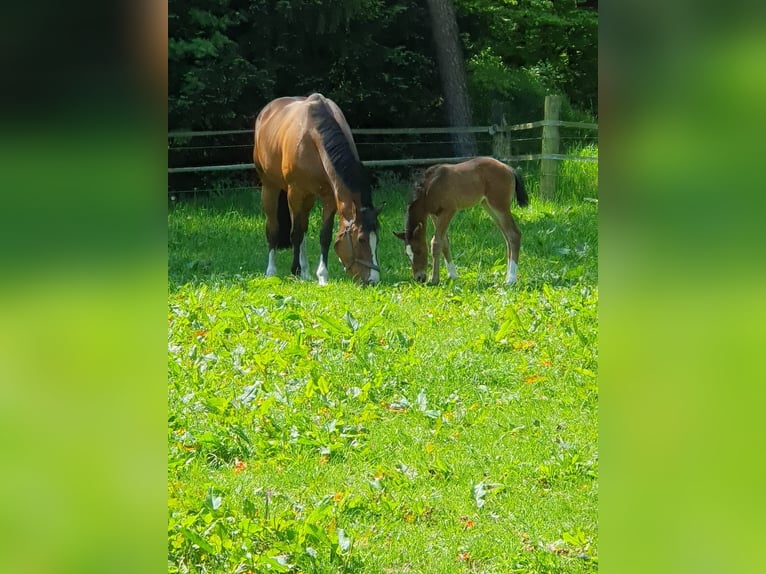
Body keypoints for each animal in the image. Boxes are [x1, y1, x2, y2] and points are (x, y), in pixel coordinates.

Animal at [254, 93, 382, 288]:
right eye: (360, 239)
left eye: (377, 240)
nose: (373, 280)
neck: (313, 135)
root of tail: (266, 112)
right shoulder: (295, 193)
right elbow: (295, 233)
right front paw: (294, 271)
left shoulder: (329, 197)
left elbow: (324, 235)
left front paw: (321, 276)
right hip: (270, 187)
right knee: (274, 227)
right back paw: (272, 271)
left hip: (308, 197)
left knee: (304, 227)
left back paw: (306, 271)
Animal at [396, 158, 528, 286]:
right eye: (407, 254)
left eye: (419, 250)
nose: (419, 278)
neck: (429, 188)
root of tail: (509, 168)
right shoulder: (434, 214)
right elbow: (445, 242)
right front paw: (453, 275)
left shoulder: (448, 210)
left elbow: (436, 242)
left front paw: (435, 280)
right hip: (488, 206)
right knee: (507, 237)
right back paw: (508, 276)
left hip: (499, 206)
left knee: (514, 234)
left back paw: (511, 279)